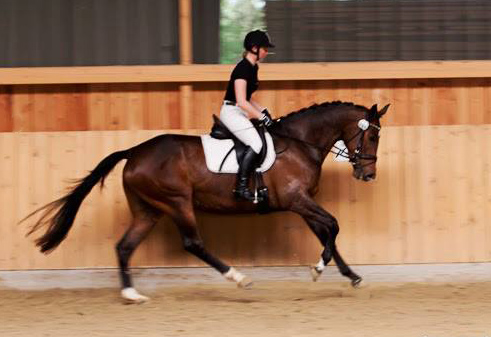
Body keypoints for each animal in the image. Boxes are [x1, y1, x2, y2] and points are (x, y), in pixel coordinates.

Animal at [23, 99, 390, 302]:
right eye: (372, 137)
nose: (368, 175)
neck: (300, 143)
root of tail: (134, 151)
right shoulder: (297, 200)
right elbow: (333, 226)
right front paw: (318, 268)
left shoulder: (302, 204)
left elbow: (327, 232)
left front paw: (350, 275)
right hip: (177, 202)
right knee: (193, 242)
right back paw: (238, 278)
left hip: (148, 210)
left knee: (124, 246)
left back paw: (132, 294)